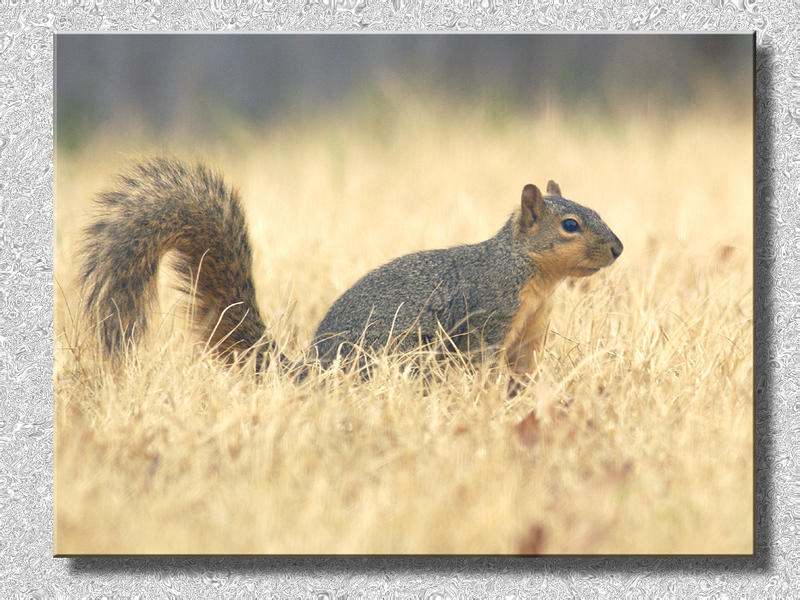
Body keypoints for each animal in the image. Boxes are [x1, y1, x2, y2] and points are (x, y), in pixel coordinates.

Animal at [78, 158, 620, 376]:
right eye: (570, 225)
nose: (617, 249)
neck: (528, 275)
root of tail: (309, 373)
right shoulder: (486, 316)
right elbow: (481, 366)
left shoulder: (527, 336)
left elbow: (523, 374)